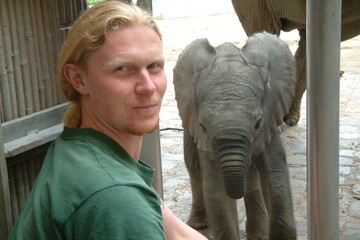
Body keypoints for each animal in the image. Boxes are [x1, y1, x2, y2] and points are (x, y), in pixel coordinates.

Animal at [173, 31, 296, 240]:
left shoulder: (270, 119)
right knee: (194, 169)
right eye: (203, 126)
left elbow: (276, 178)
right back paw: (198, 224)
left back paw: (259, 235)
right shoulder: (205, 140)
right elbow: (216, 192)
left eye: (258, 123)